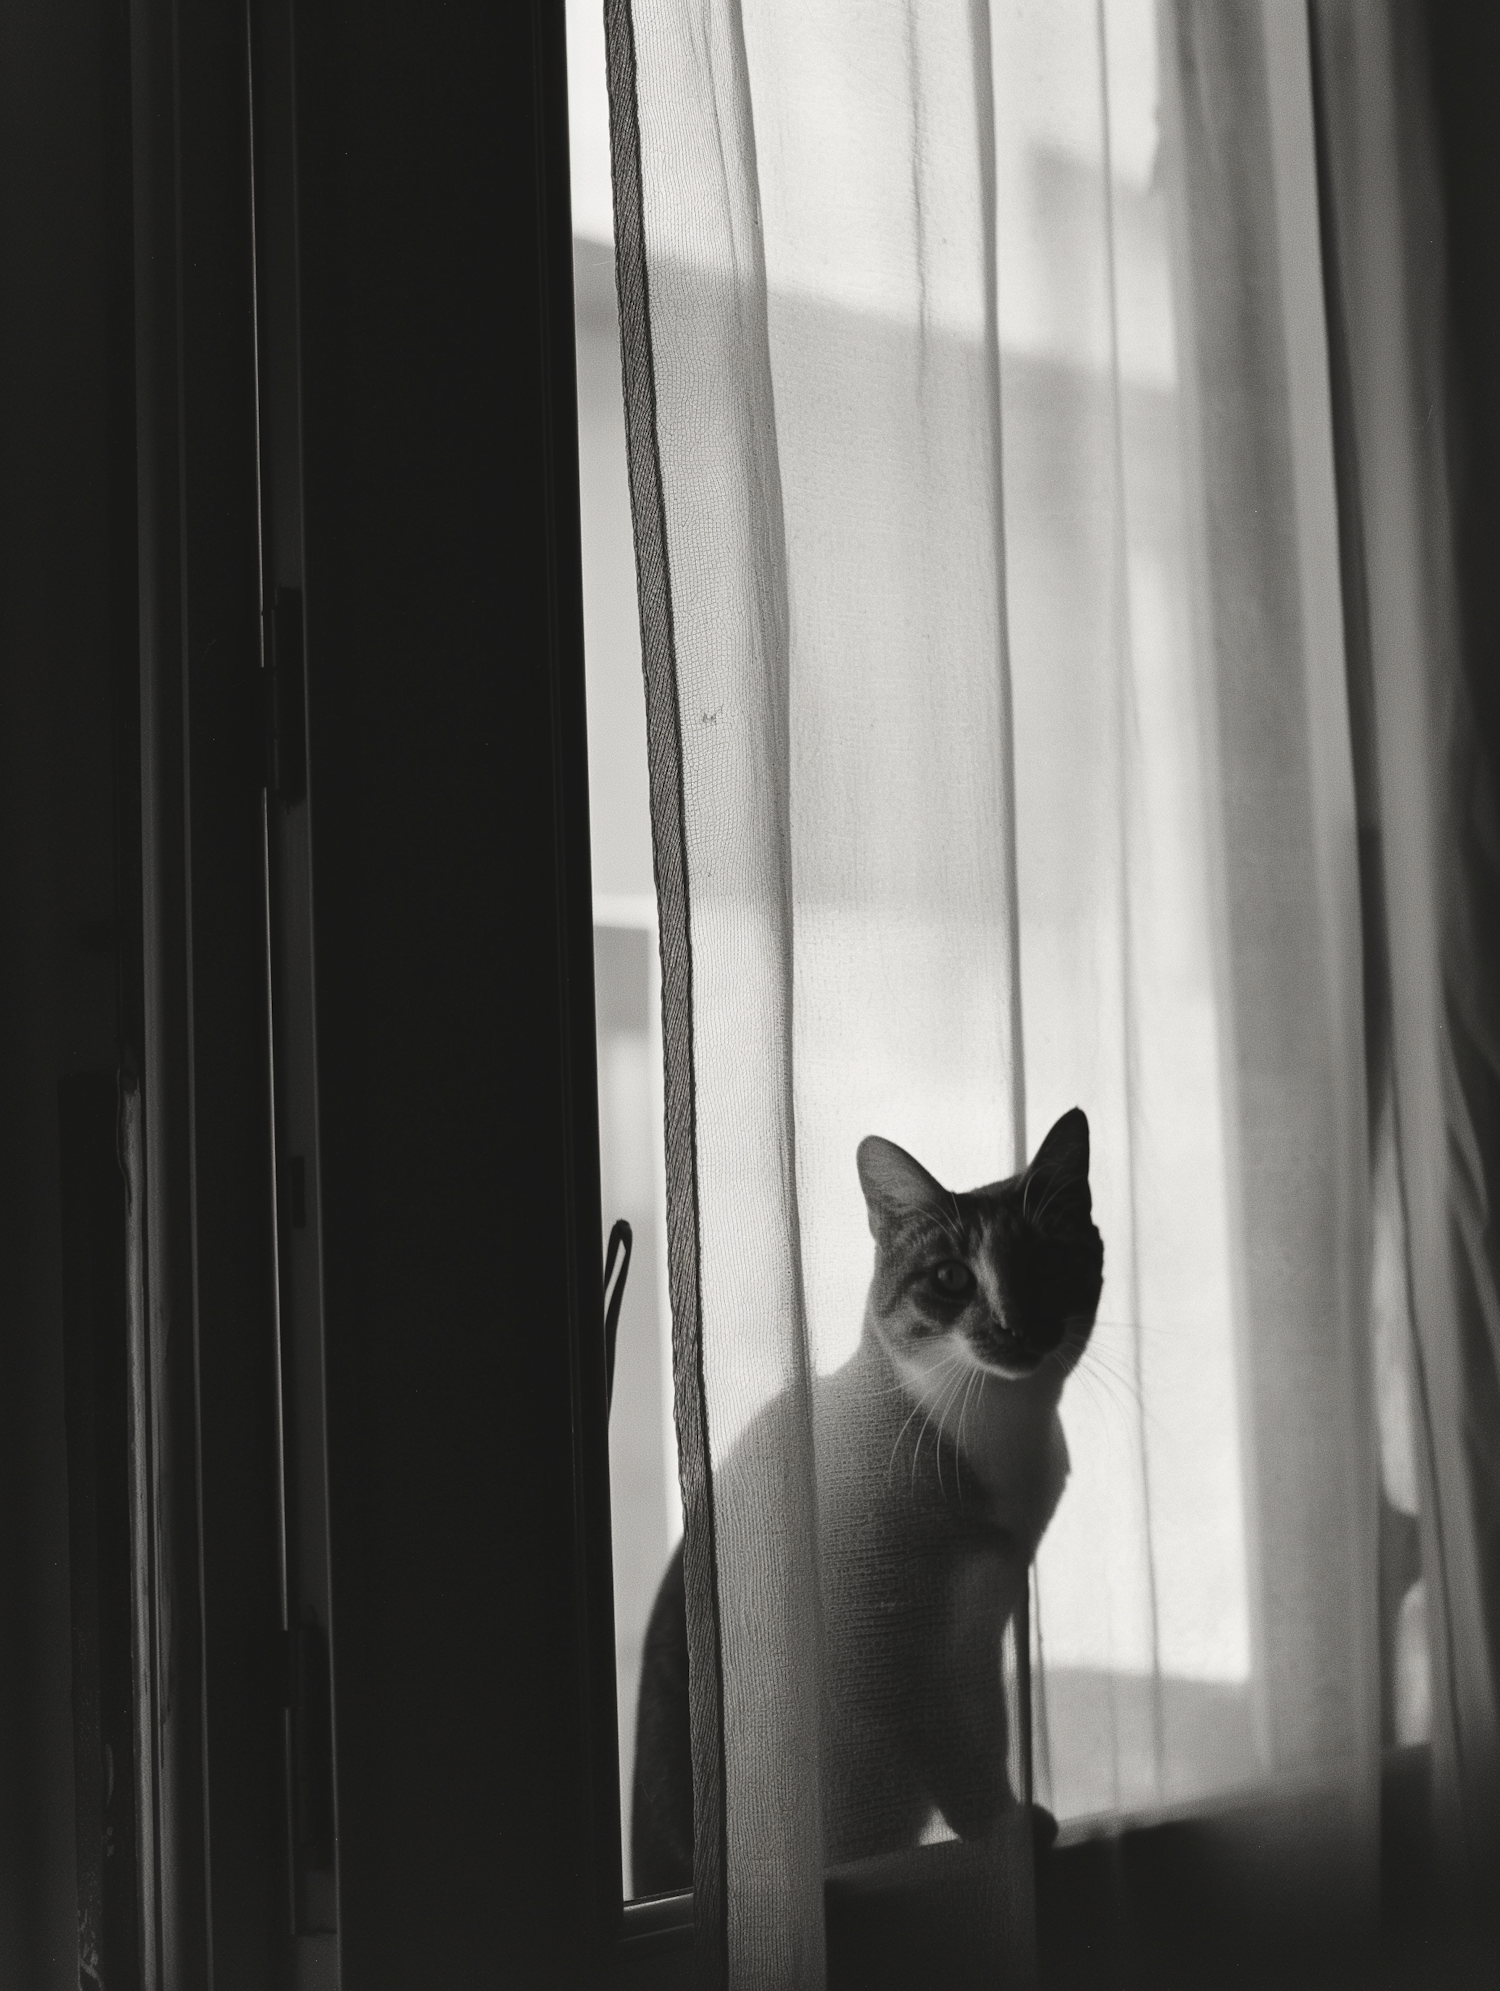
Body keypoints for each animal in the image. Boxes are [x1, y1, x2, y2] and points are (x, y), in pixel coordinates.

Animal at [629, 1114, 1099, 1887]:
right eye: (950, 1277)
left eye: (1047, 1263)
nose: (1013, 1325)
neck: (995, 1427)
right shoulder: (889, 1633)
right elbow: (951, 1749)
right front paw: (1003, 1832)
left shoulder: (984, 1623)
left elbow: (987, 1733)